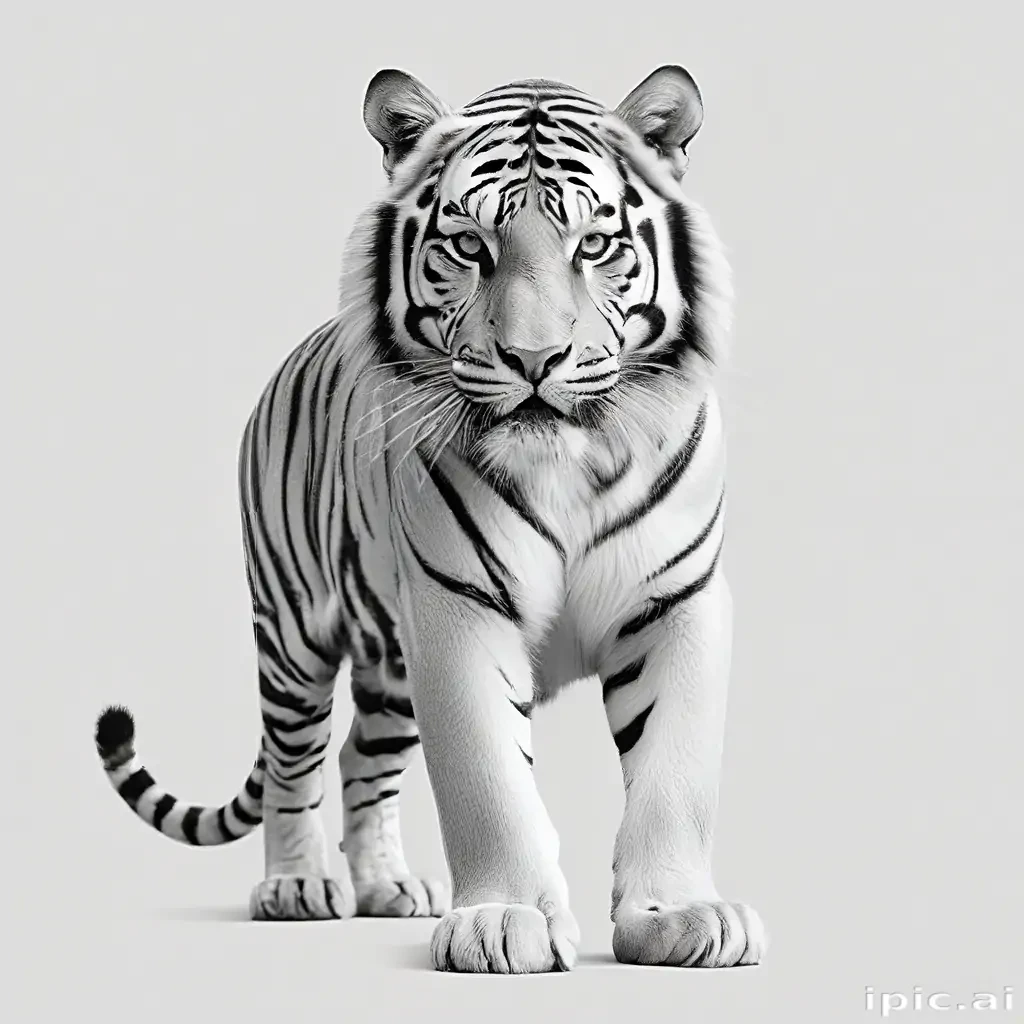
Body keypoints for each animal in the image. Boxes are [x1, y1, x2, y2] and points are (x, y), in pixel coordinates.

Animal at [94, 64, 767, 974]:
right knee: (295, 760)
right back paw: (297, 887)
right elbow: (487, 781)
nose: (534, 359)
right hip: (293, 631)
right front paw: (503, 922)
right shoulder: (456, 609)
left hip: (390, 672)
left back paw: (388, 888)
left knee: (359, 757)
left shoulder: (678, 601)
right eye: (470, 247)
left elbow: (676, 772)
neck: (569, 470)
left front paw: (682, 916)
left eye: (594, 246)